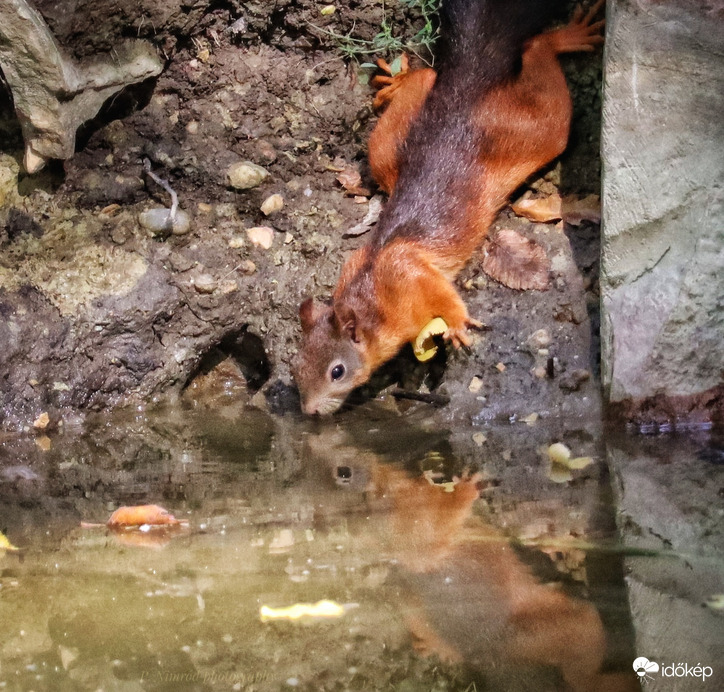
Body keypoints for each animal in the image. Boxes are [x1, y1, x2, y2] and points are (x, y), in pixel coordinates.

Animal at [294, 1, 604, 416]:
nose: (309, 411)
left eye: (337, 371)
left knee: (539, 64)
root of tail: (460, 100)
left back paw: (564, 37)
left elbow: (442, 294)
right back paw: (400, 81)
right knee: (427, 77)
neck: (371, 297)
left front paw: (456, 323)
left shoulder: (408, 273)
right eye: (296, 365)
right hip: (389, 152)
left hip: (525, 133)